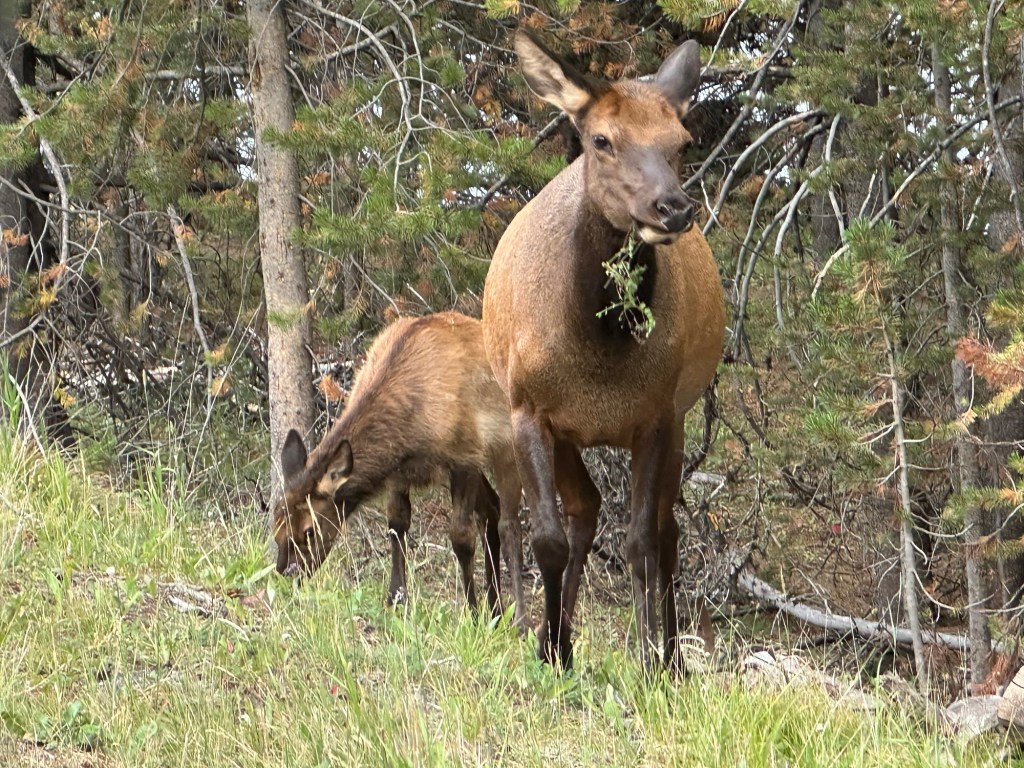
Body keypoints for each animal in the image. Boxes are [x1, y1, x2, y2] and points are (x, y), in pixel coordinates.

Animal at [272, 312, 527, 627]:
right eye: (275, 522)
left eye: (309, 531)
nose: (286, 573)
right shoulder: (399, 472)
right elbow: (396, 525)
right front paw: (395, 600)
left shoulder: (464, 457)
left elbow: (460, 538)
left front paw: (472, 613)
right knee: (491, 510)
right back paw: (496, 608)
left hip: (507, 447)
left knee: (510, 524)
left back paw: (520, 620)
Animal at [481, 31, 726, 669]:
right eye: (601, 139)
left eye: (683, 142)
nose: (674, 208)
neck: (599, 357)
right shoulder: (528, 409)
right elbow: (547, 538)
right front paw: (550, 651)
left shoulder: (657, 415)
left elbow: (640, 541)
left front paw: (648, 661)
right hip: (565, 432)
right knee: (586, 509)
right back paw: (560, 635)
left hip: (680, 416)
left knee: (666, 531)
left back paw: (672, 658)